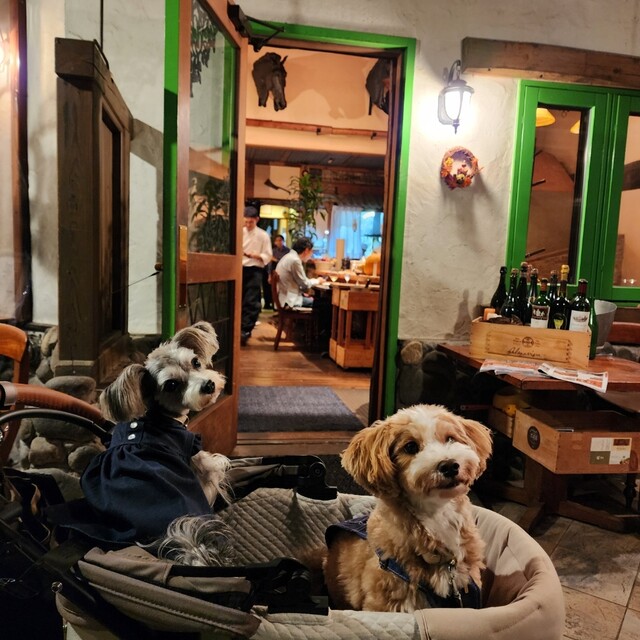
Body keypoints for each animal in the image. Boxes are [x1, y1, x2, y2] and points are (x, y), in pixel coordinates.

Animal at [76, 322, 230, 546]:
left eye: (195, 362)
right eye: (171, 384)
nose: (208, 385)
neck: (158, 413)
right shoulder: (194, 453)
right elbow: (214, 466)